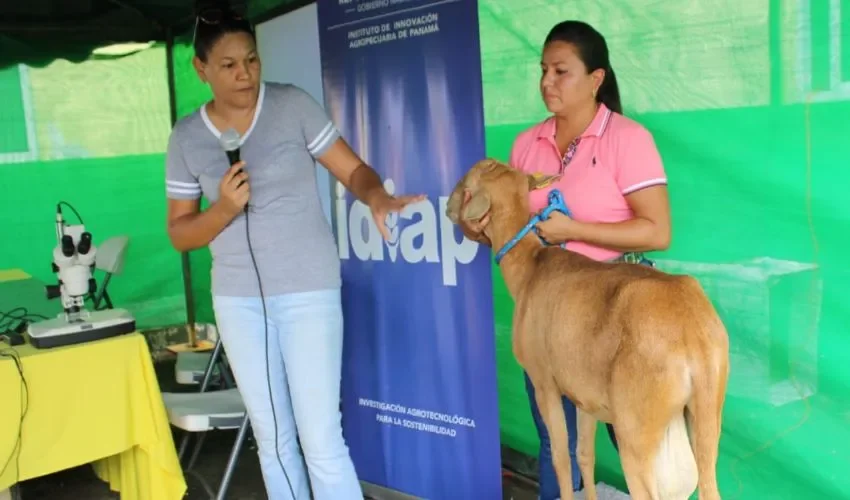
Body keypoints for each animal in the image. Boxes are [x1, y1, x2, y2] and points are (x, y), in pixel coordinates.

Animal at [444, 159, 728, 500]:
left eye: (467, 181)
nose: (446, 207)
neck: (529, 267)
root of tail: (692, 335)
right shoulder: (584, 394)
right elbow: (584, 455)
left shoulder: (544, 382)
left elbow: (560, 457)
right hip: (705, 413)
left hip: (635, 428)